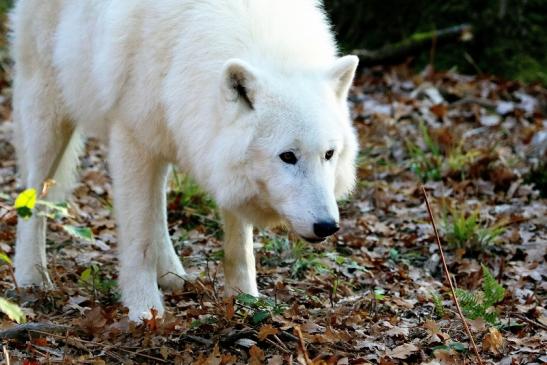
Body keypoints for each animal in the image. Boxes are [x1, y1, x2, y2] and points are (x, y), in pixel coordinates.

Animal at [10, 0, 360, 318]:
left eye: (329, 154)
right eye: (288, 156)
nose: (328, 226)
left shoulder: (214, 155)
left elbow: (239, 247)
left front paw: (245, 301)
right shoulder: (131, 139)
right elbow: (138, 240)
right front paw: (144, 310)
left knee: (157, 211)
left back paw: (171, 274)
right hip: (48, 116)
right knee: (34, 195)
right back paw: (31, 276)